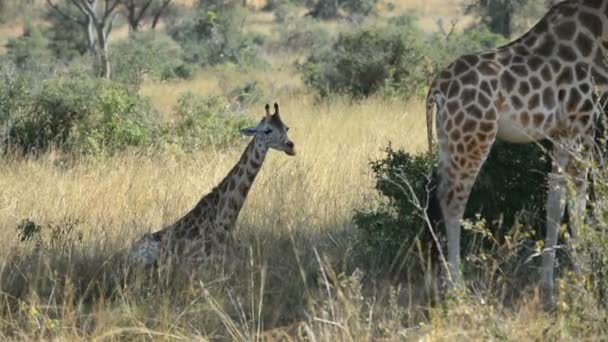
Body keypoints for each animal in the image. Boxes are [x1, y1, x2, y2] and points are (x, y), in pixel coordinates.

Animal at [422, 0, 608, 304]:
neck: (598, 34)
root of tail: (436, 88)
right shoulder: (582, 124)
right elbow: (579, 204)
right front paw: (583, 284)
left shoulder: (561, 133)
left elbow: (555, 201)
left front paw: (548, 289)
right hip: (474, 138)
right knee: (452, 200)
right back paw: (456, 288)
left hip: (449, 141)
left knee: (438, 195)